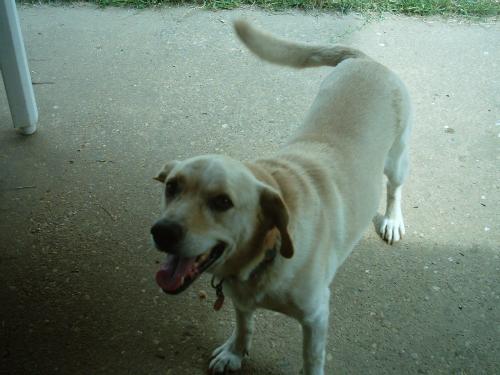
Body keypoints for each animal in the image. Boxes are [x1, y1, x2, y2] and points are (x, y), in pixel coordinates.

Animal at [150, 19, 412, 375]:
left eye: (222, 202)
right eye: (172, 187)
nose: (161, 232)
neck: (263, 255)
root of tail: (363, 59)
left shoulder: (316, 316)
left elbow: (312, 358)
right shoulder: (241, 299)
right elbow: (244, 326)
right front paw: (235, 352)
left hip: (397, 159)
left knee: (394, 188)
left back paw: (393, 220)